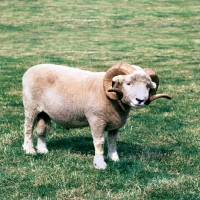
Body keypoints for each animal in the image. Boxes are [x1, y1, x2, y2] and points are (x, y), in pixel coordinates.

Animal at [22, 62, 171, 169]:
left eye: (147, 86)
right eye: (128, 83)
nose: (140, 100)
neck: (111, 97)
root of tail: (29, 71)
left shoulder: (114, 124)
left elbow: (112, 141)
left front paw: (114, 158)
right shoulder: (96, 120)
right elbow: (99, 142)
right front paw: (100, 164)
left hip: (44, 112)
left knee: (42, 130)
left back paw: (42, 150)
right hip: (31, 107)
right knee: (28, 129)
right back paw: (29, 150)